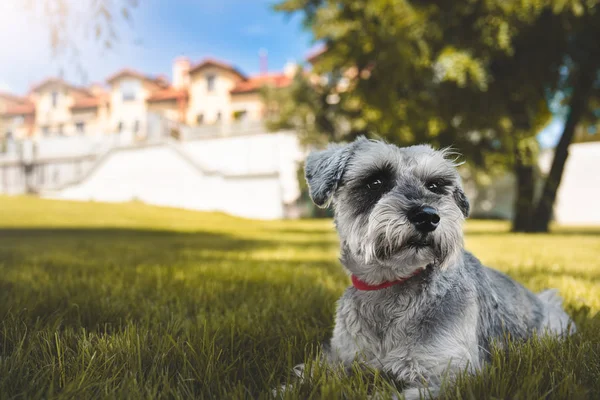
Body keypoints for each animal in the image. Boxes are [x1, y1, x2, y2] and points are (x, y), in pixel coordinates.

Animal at [302, 137, 576, 396]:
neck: (391, 285)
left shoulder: (450, 375)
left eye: (434, 185)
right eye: (375, 181)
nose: (427, 216)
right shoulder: (339, 358)